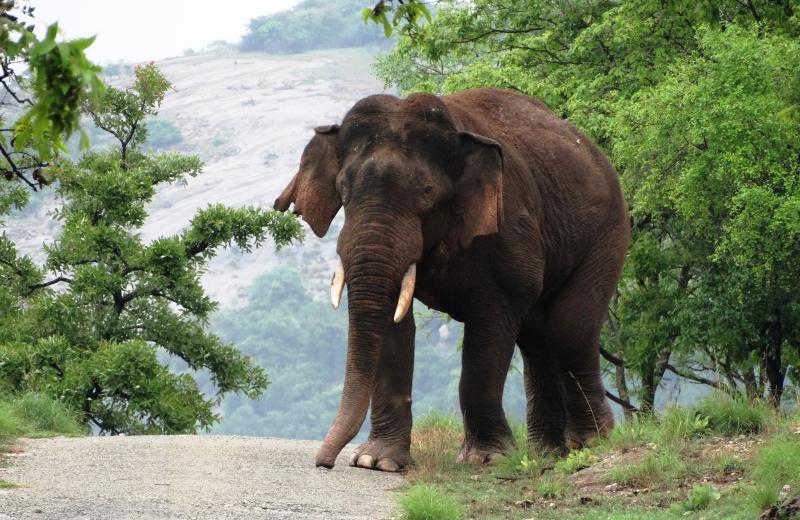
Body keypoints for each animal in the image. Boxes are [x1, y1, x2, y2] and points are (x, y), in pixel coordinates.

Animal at [276, 88, 632, 472]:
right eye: (343, 189)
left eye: (427, 192)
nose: (324, 463)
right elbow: (394, 323)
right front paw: (377, 462)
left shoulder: (508, 228)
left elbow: (491, 323)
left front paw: (485, 458)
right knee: (537, 338)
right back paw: (547, 453)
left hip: (608, 235)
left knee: (568, 329)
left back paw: (590, 443)